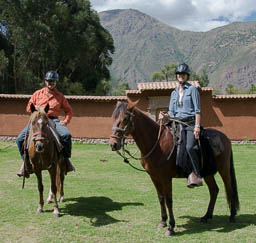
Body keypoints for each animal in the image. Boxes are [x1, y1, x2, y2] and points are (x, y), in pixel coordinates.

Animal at [109, 99, 240, 236]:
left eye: (125, 118)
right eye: (114, 118)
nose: (113, 144)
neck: (157, 143)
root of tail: (225, 138)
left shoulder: (166, 177)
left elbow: (169, 200)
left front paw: (171, 227)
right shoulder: (154, 176)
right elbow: (161, 198)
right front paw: (163, 221)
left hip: (224, 170)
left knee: (229, 189)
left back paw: (232, 216)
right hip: (207, 172)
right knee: (214, 190)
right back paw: (206, 216)